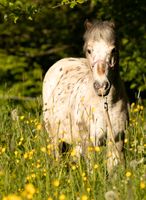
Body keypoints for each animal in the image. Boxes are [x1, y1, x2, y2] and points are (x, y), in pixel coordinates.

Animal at [42, 20, 129, 173]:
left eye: (113, 49)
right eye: (89, 50)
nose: (101, 86)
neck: (106, 104)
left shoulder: (116, 141)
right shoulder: (89, 143)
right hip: (55, 137)